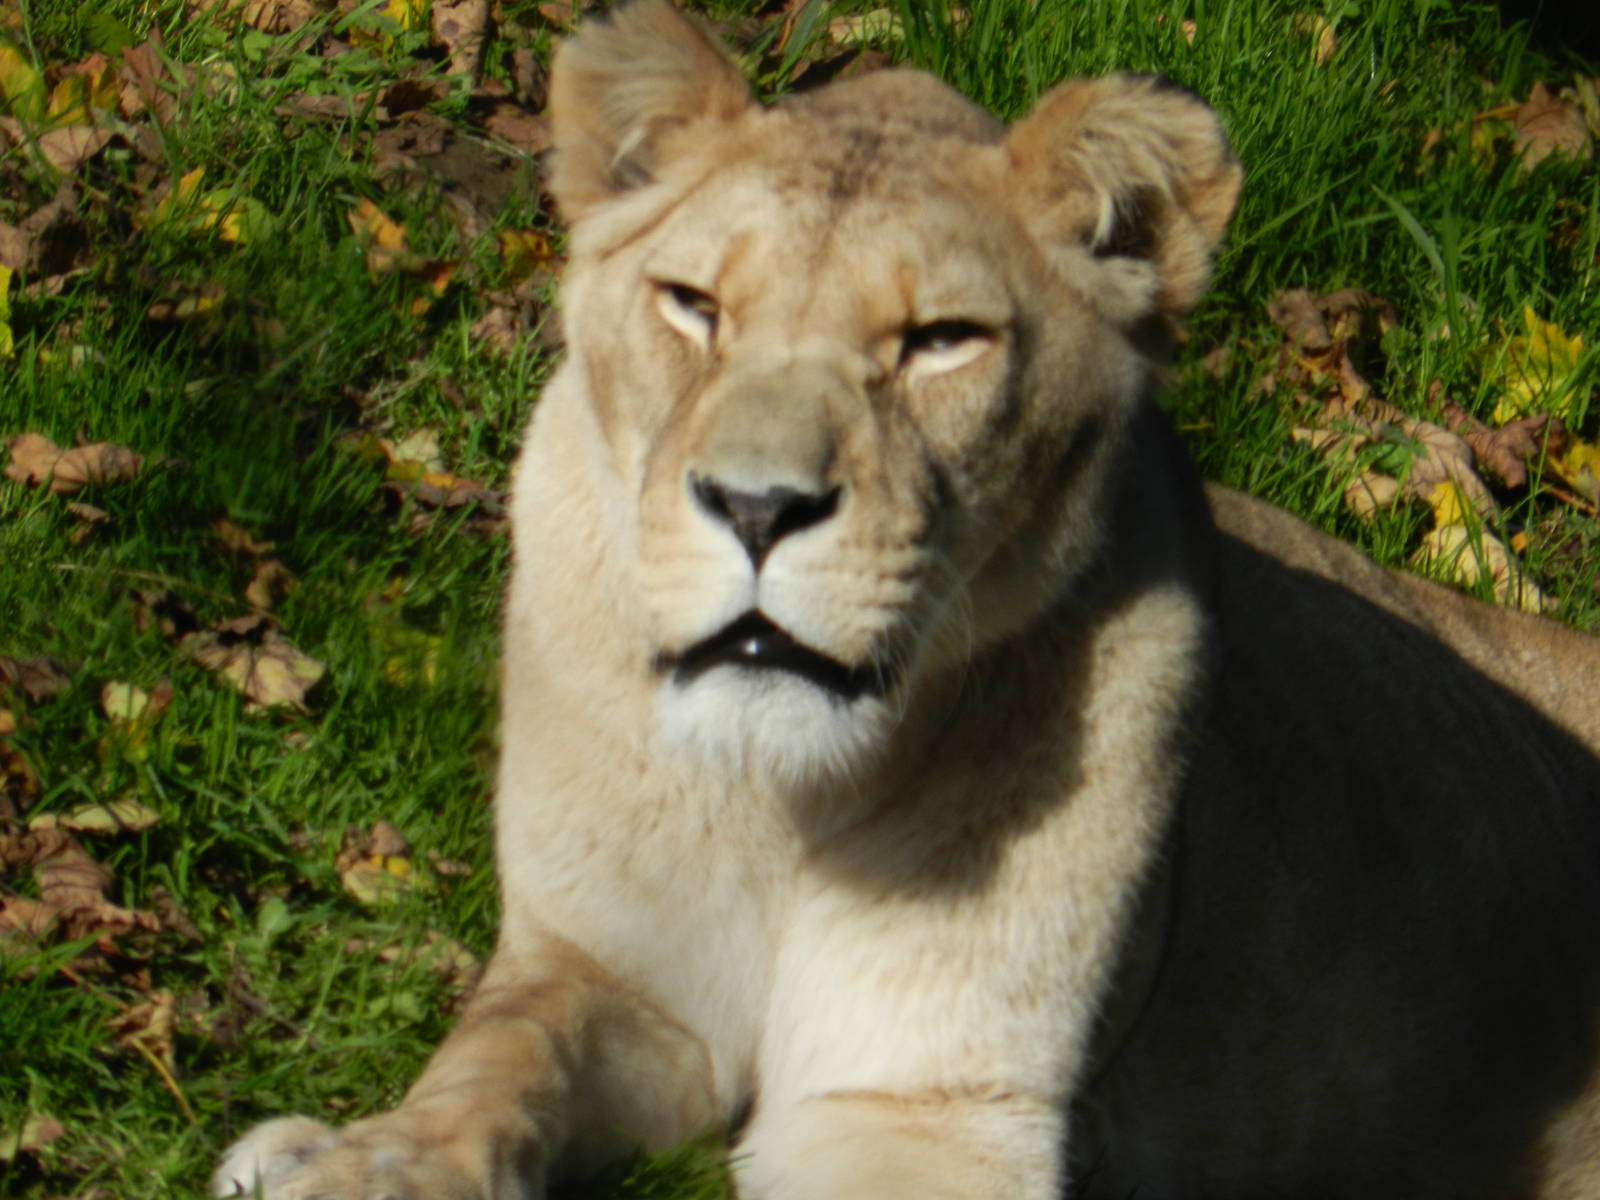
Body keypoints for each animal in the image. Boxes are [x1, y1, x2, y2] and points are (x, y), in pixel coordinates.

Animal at [213, 3, 1600, 1197]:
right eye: (694, 306)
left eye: (940, 341)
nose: (757, 508)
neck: (778, 806)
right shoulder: (615, 979)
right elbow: (497, 1063)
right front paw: (356, 1163)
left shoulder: (920, 1105)